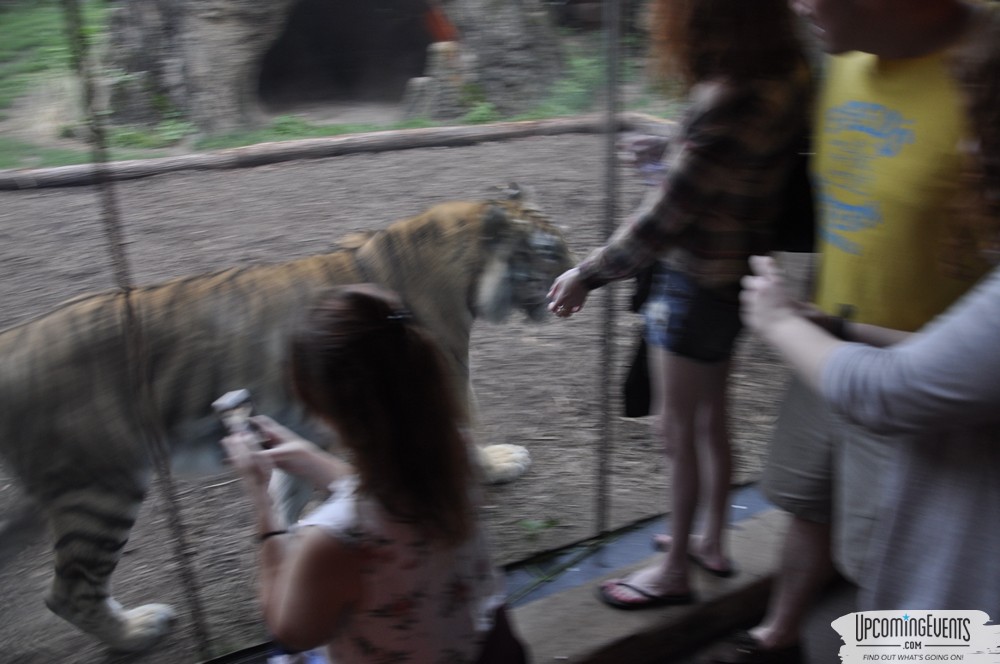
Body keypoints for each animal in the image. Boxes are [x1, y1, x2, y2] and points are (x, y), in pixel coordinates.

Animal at [0, 184, 572, 652]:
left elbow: (286, 491)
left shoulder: (299, 424)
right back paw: (139, 630)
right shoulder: (441, 377)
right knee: (68, 591)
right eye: (550, 251)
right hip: (101, 489)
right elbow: (463, 432)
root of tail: (14, 343)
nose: (570, 275)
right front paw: (498, 464)